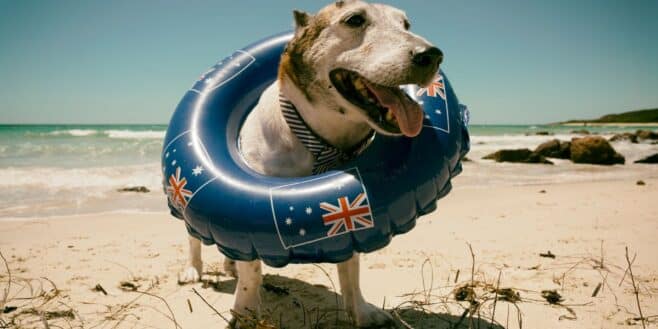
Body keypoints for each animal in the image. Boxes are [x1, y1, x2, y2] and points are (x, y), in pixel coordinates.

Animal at [178, 1, 440, 326]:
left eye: (406, 24)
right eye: (355, 19)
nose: (432, 55)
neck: (321, 142)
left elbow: (351, 269)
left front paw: (361, 312)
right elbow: (251, 271)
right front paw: (247, 313)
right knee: (195, 238)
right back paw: (193, 270)